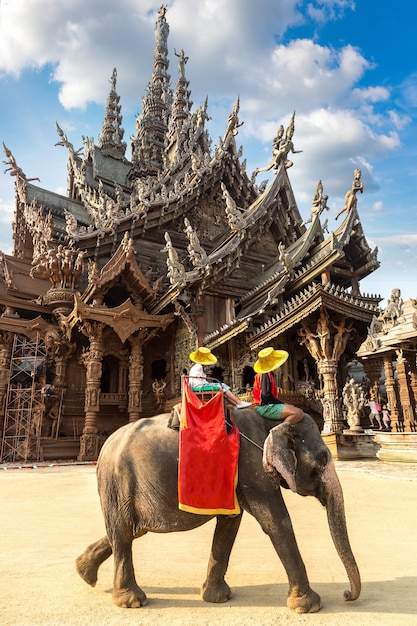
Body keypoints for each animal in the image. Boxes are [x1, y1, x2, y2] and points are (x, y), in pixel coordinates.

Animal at [76, 408, 360, 612]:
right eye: (322, 459)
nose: (346, 595)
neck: (271, 419)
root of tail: (105, 447)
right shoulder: (252, 465)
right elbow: (275, 521)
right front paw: (309, 606)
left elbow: (230, 521)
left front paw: (217, 597)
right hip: (118, 481)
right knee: (124, 533)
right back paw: (132, 601)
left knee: (129, 531)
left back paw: (85, 573)